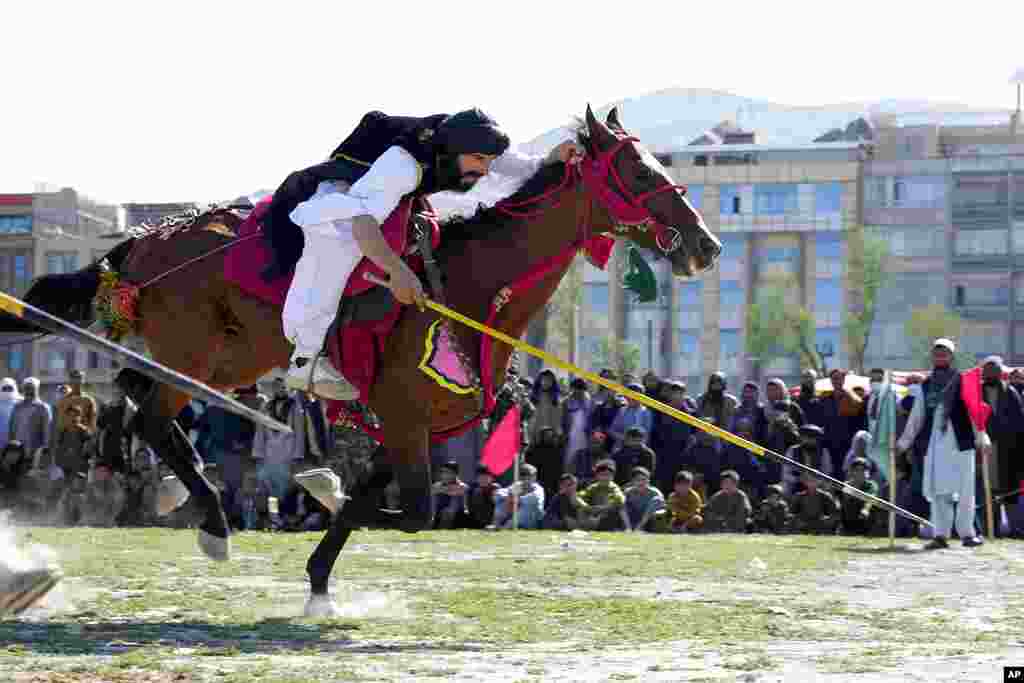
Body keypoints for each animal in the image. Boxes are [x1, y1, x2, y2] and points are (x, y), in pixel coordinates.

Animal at [8, 105, 721, 615]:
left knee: (137, 392)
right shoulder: (404, 419)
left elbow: (377, 504)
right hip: (200, 350)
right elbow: (410, 513)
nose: (707, 246)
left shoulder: (410, 426)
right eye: (639, 173)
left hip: (230, 358)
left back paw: (171, 491)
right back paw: (210, 518)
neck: (466, 288)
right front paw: (320, 494)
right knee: (150, 411)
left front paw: (320, 582)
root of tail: (146, 241)